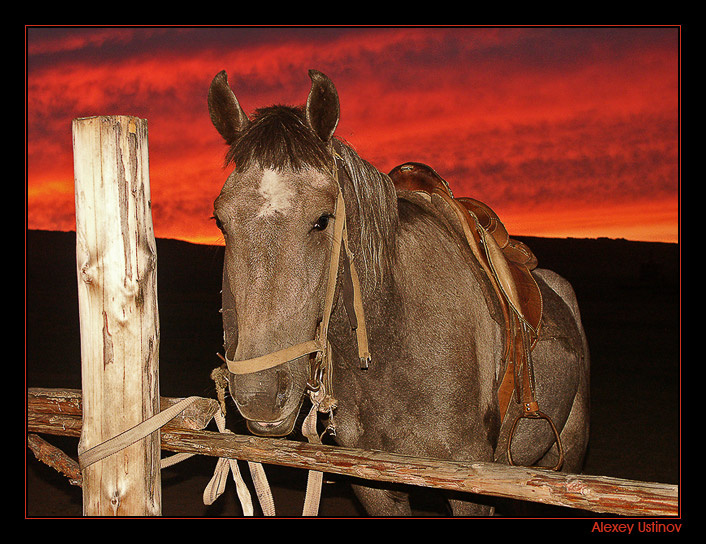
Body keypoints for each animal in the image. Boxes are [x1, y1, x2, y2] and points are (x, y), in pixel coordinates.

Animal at [208, 69, 590, 516]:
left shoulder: (469, 481)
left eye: (322, 219)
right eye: (220, 221)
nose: (261, 395)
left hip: (568, 456)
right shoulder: (373, 485)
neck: (395, 343)